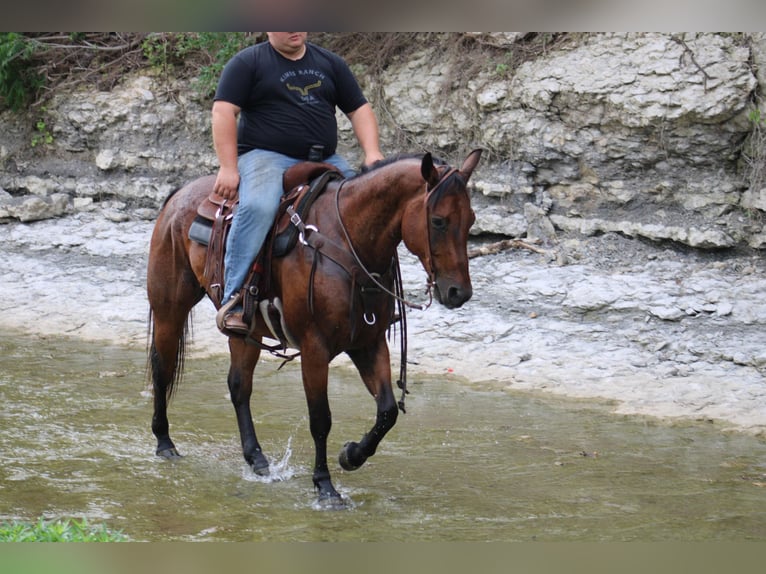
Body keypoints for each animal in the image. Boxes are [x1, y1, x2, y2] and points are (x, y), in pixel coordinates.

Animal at [147, 150, 484, 508]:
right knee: (162, 368)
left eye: (471, 220)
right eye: (438, 221)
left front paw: (351, 455)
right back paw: (165, 442)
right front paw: (325, 486)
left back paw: (257, 459)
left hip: (247, 333)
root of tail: (179, 195)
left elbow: (387, 411)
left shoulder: (368, 342)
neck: (348, 243)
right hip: (170, 310)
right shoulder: (314, 348)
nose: (458, 293)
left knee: (239, 386)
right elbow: (321, 419)